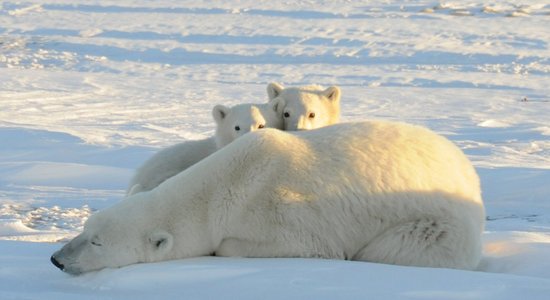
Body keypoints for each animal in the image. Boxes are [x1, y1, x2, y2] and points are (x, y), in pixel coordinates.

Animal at [50, 120, 484, 276]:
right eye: (85, 228)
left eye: (97, 242)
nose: (57, 259)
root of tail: (469, 171)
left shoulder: (283, 211)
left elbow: (306, 246)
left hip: (435, 223)